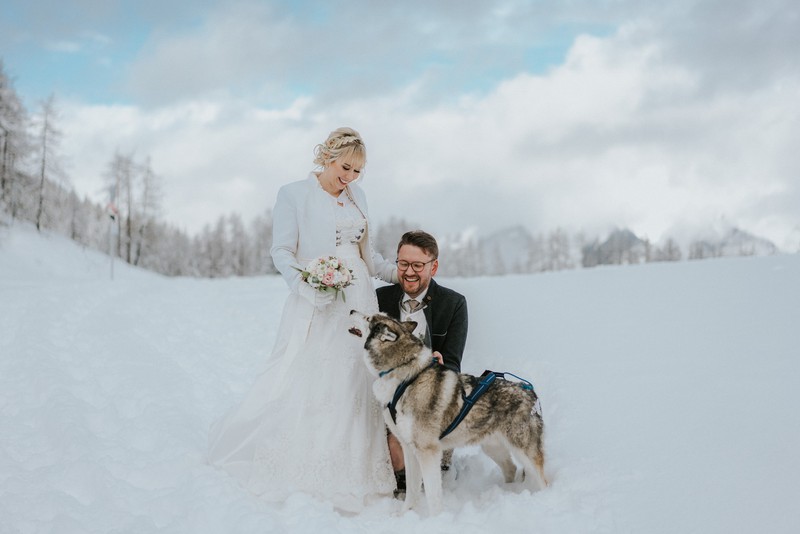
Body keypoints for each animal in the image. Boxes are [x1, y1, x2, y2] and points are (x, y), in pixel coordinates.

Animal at [350, 312, 552, 516]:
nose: (351, 311)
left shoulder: (428, 451)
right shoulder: (409, 448)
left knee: (543, 480)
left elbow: (432, 494)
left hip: (525, 452)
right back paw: (506, 492)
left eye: (368, 317)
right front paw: (403, 514)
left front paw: (435, 519)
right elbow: (412, 490)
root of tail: (531, 393)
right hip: (493, 447)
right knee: (511, 468)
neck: (403, 378)